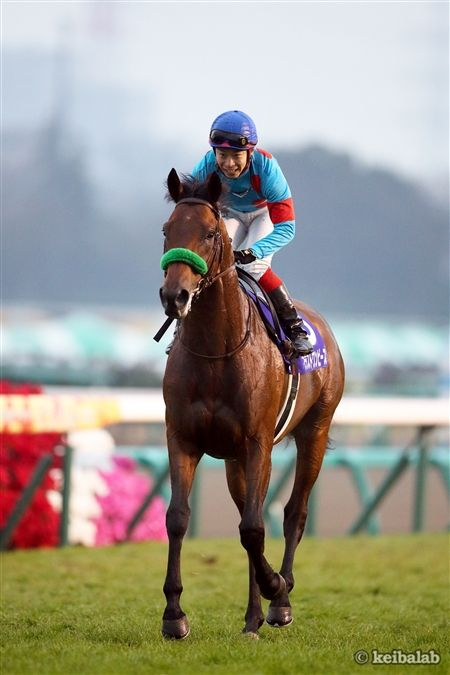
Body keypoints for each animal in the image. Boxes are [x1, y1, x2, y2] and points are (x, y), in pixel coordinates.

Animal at [159, 169, 345, 639]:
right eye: (167, 230)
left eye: (209, 234)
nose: (175, 296)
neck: (216, 349)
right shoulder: (183, 438)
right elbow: (179, 518)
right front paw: (174, 614)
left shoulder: (257, 441)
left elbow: (256, 527)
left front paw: (276, 586)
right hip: (233, 461)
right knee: (250, 517)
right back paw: (252, 616)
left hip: (315, 431)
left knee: (293, 512)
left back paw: (278, 601)